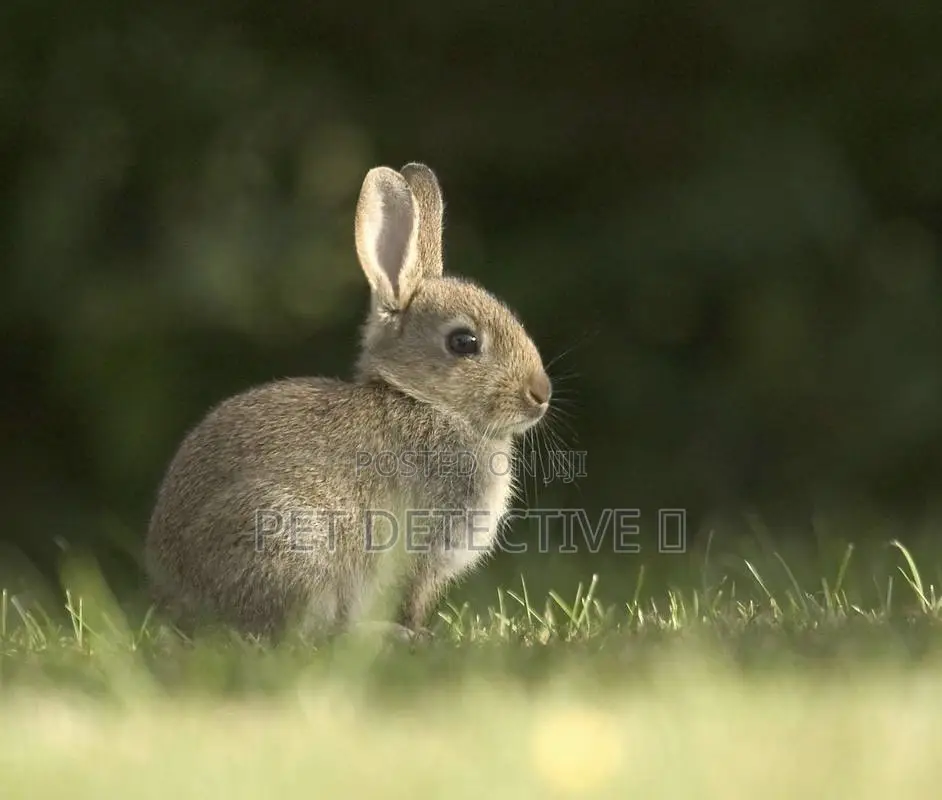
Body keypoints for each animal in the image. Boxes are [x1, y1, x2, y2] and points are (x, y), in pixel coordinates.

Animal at [144, 162, 552, 644]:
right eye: (464, 342)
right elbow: (409, 599)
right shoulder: (418, 549)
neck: (424, 402)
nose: (541, 394)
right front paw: (417, 635)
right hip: (290, 540)